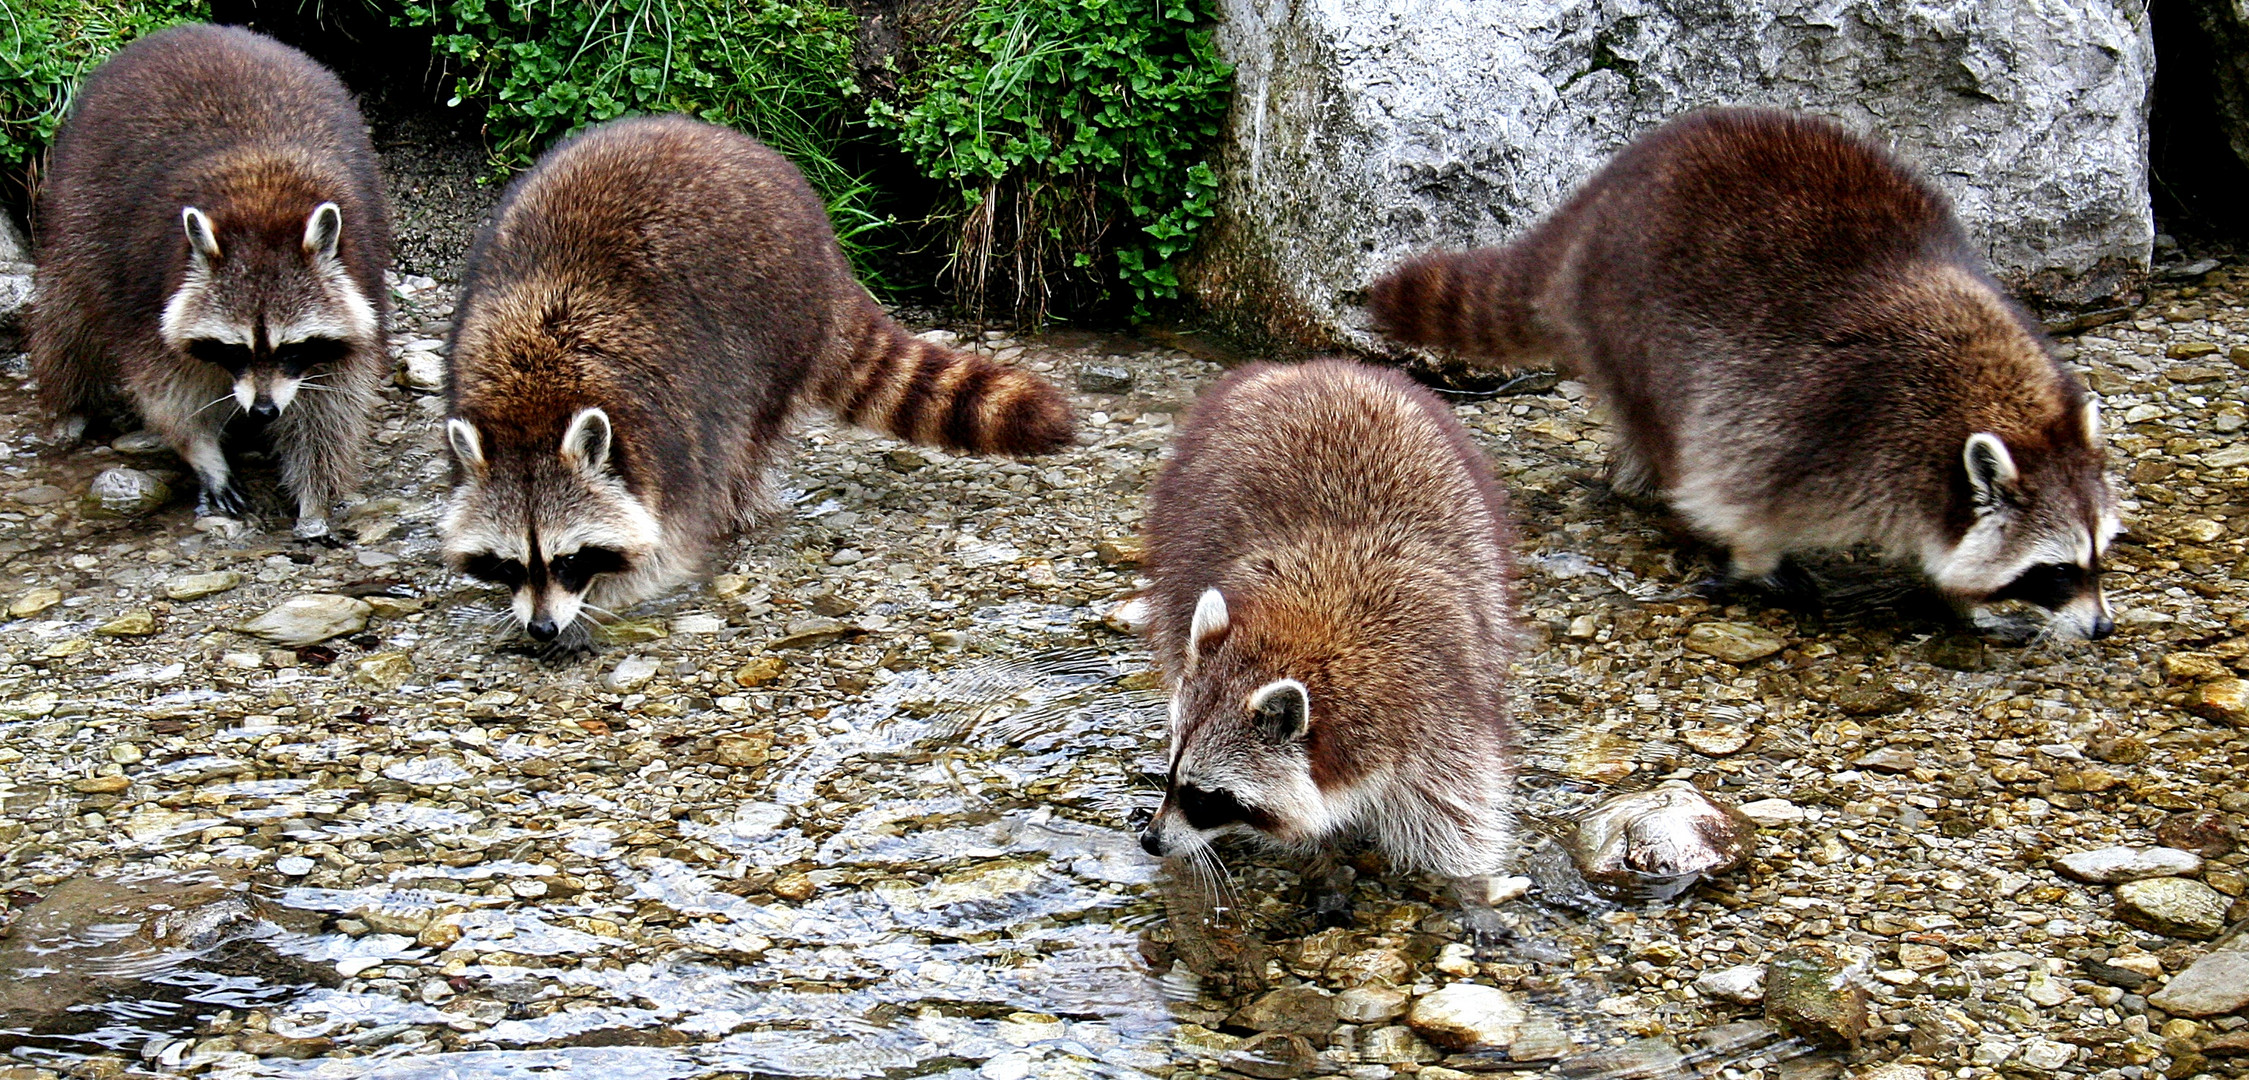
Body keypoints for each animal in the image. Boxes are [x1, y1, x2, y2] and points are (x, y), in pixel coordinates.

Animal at [32, 21, 391, 535]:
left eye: (293, 349)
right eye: (234, 349)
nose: (263, 410)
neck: (264, 204)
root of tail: (196, 29)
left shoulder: (358, 271)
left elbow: (332, 406)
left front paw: (315, 497)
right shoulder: (150, 286)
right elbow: (167, 387)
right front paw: (203, 452)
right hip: (82, 197)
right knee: (70, 307)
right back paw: (70, 400)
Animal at [438, 115, 1070, 639]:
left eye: (571, 559)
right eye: (510, 563)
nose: (542, 629)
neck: (534, 406)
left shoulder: (667, 438)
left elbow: (670, 541)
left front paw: (604, 601)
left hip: (772, 320)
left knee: (746, 445)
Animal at [1142, 357, 1511, 922]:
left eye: (1207, 796)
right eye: (1170, 776)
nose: (1150, 840)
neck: (1311, 631)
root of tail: (1307, 367)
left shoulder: (1439, 719)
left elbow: (1454, 818)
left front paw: (1464, 888)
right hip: (1181, 510)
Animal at [1367, 107, 2123, 639]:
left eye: (2097, 557)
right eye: (2055, 573)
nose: (2101, 629)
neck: (1984, 393)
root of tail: (1594, 202)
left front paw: (1959, 599)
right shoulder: (1830, 421)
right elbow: (1740, 494)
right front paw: (1753, 561)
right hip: (1635, 317)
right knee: (1663, 425)